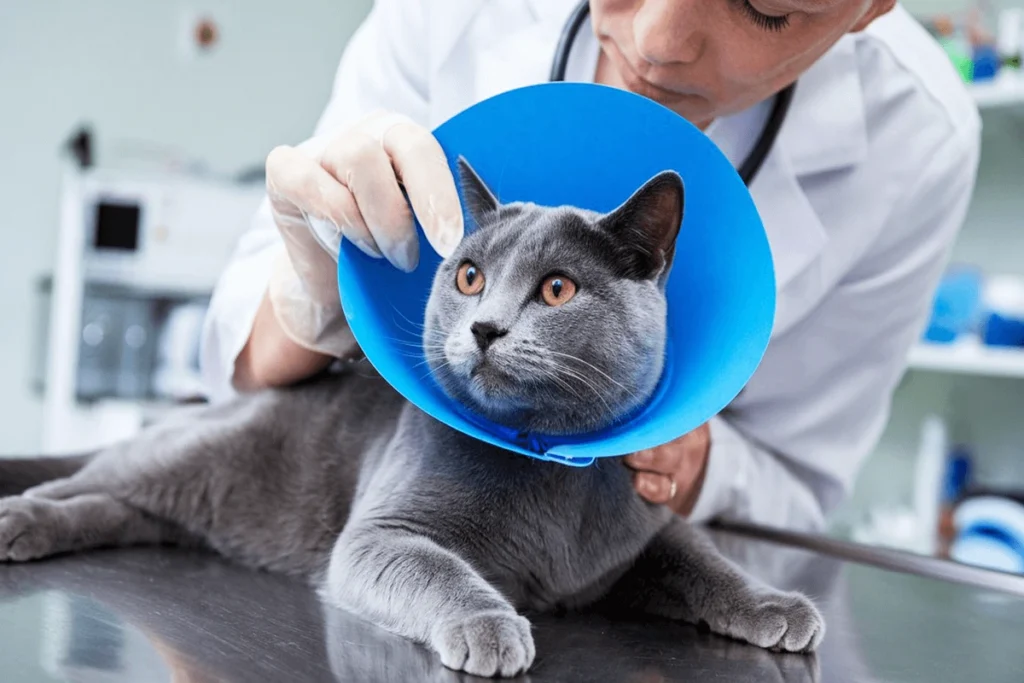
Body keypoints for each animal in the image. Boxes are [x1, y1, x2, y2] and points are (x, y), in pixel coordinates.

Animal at [0, 160, 823, 679]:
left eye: (557, 289)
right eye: (470, 277)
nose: (485, 327)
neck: (547, 473)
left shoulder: (646, 528)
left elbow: (706, 560)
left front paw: (774, 605)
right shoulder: (381, 534)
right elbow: (436, 567)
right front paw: (490, 625)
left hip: (187, 503)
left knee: (119, 505)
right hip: (189, 453)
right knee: (85, 479)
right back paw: (18, 518)